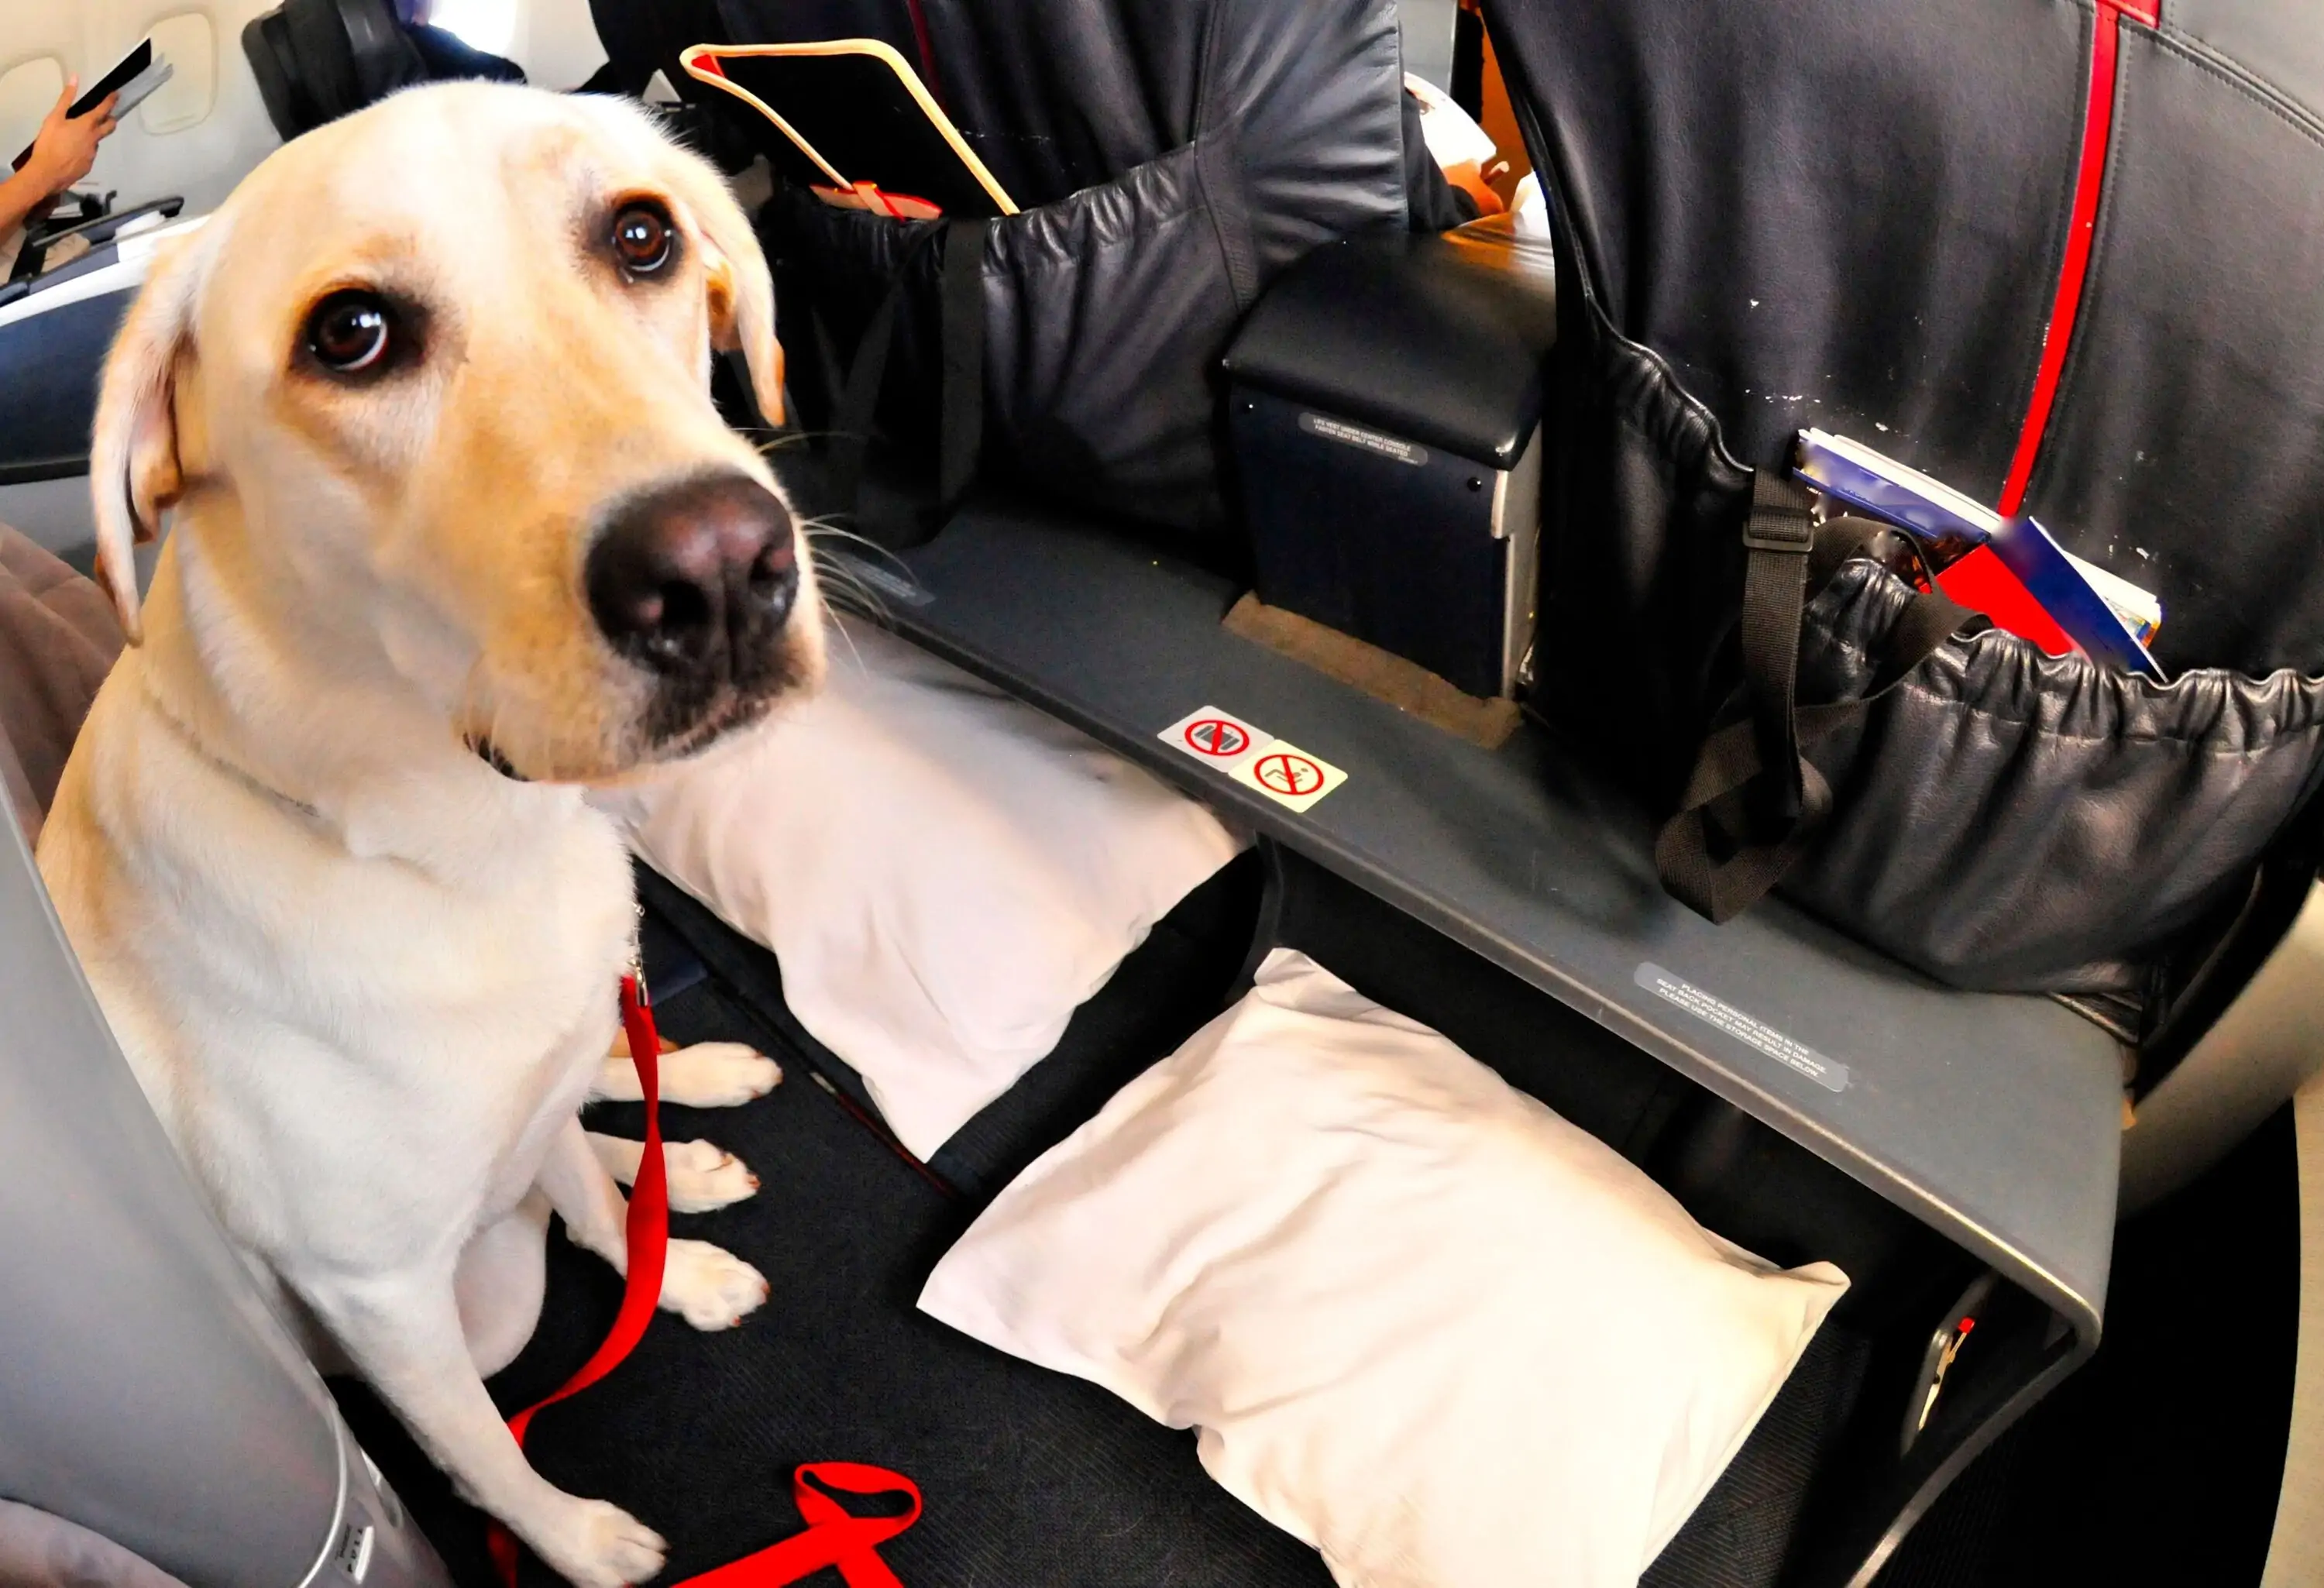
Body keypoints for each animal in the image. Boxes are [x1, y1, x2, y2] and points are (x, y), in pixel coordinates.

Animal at [36, 81, 827, 1580]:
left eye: (643, 235)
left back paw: (687, 1126)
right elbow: (480, 1453)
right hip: (481, 1305)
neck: (454, 847)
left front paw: (676, 1270)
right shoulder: (385, 1299)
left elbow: (596, 1202)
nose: (720, 570)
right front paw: (574, 1539)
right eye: (351, 335)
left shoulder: (541, 1074)